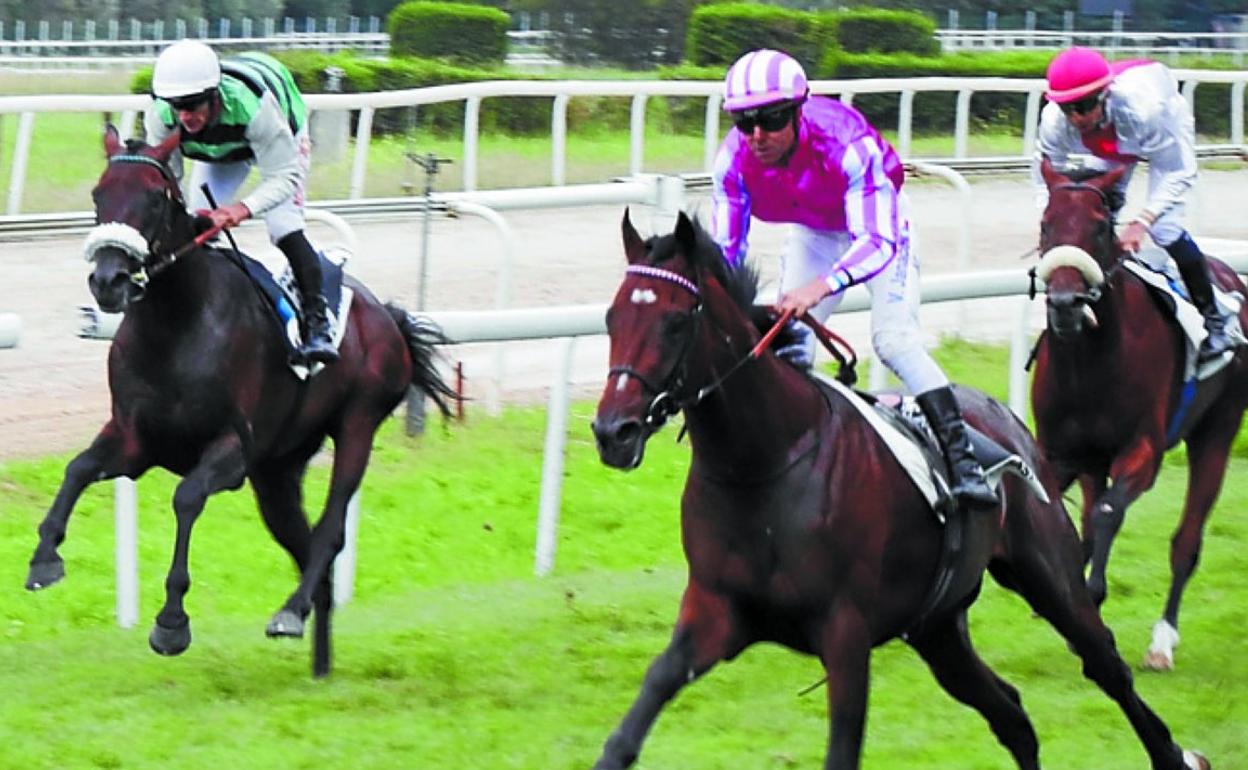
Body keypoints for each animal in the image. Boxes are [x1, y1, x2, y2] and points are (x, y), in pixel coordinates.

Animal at [24, 127, 456, 678]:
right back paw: (318, 658)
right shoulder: (135, 440)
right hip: (276, 471)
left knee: (330, 531)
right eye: (98, 194)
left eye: (153, 197)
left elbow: (187, 497)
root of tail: (387, 315)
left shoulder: (232, 449)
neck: (176, 324)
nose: (108, 281)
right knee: (305, 545)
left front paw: (171, 621)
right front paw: (44, 558)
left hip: (357, 424)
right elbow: (78, 468)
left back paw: (290, 612)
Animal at [589, 209, 1213, 768]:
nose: (612, 431)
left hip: (1049, 574)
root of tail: (1005, 419)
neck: (763, 465)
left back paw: (1178, 752)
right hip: (936, 627)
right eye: (612, 317)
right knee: (1012, 714)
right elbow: (634, 719)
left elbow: (842, 749)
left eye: (675, 320)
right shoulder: (714, 610)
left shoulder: (845, 633)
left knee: (1104, 664)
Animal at [1028, 159, 1243, 668]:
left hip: (1217, 433)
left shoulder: (1143, 449)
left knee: (1186, 541)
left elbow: (1108, 512)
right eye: (1046, 223)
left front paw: (1093, 592)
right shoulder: (1060, 453)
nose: (1064, 304)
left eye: (1100, 227)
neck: (1086, 363)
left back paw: (1162, 641)